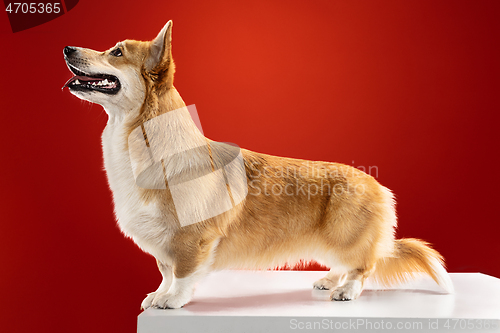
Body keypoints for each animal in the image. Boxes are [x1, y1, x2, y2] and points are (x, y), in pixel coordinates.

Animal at [62, 20, 454, 308]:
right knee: (344, 265)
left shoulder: (192, 239)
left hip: (345, 236)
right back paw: (328, 280)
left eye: (116, 52)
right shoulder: (164, 243)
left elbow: (182, 274)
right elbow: (165, 271)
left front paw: (171, 301)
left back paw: (345, 290)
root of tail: (378, 185)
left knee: (361, 266)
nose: (67, 48)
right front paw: (158, 294)